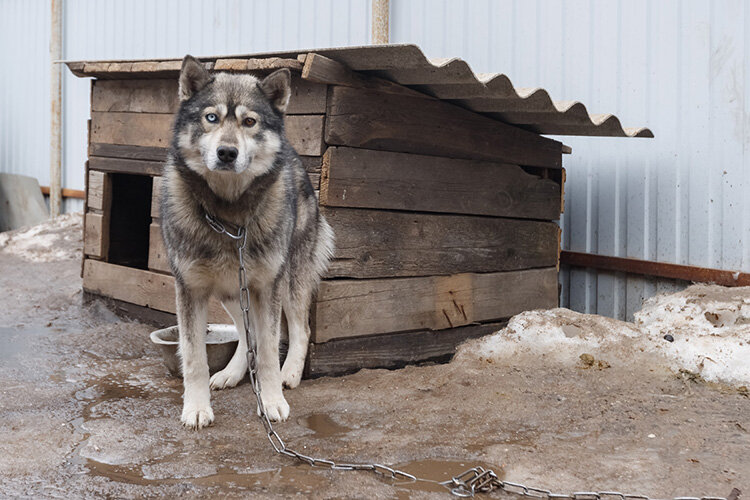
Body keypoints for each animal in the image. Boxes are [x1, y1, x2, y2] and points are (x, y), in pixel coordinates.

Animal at [162, 55, 334, 430]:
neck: (228, 216)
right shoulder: (191, 289)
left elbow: (269, 351)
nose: (227, 152)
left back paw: (290, 374)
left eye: (249, 121)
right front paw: (196, 407)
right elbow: (194, 357)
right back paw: (232, 373)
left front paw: (271, 402)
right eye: (211, 117)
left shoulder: (267, 286)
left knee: (299, 329)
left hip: (288, 281)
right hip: (231, 291)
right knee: (247, 333)